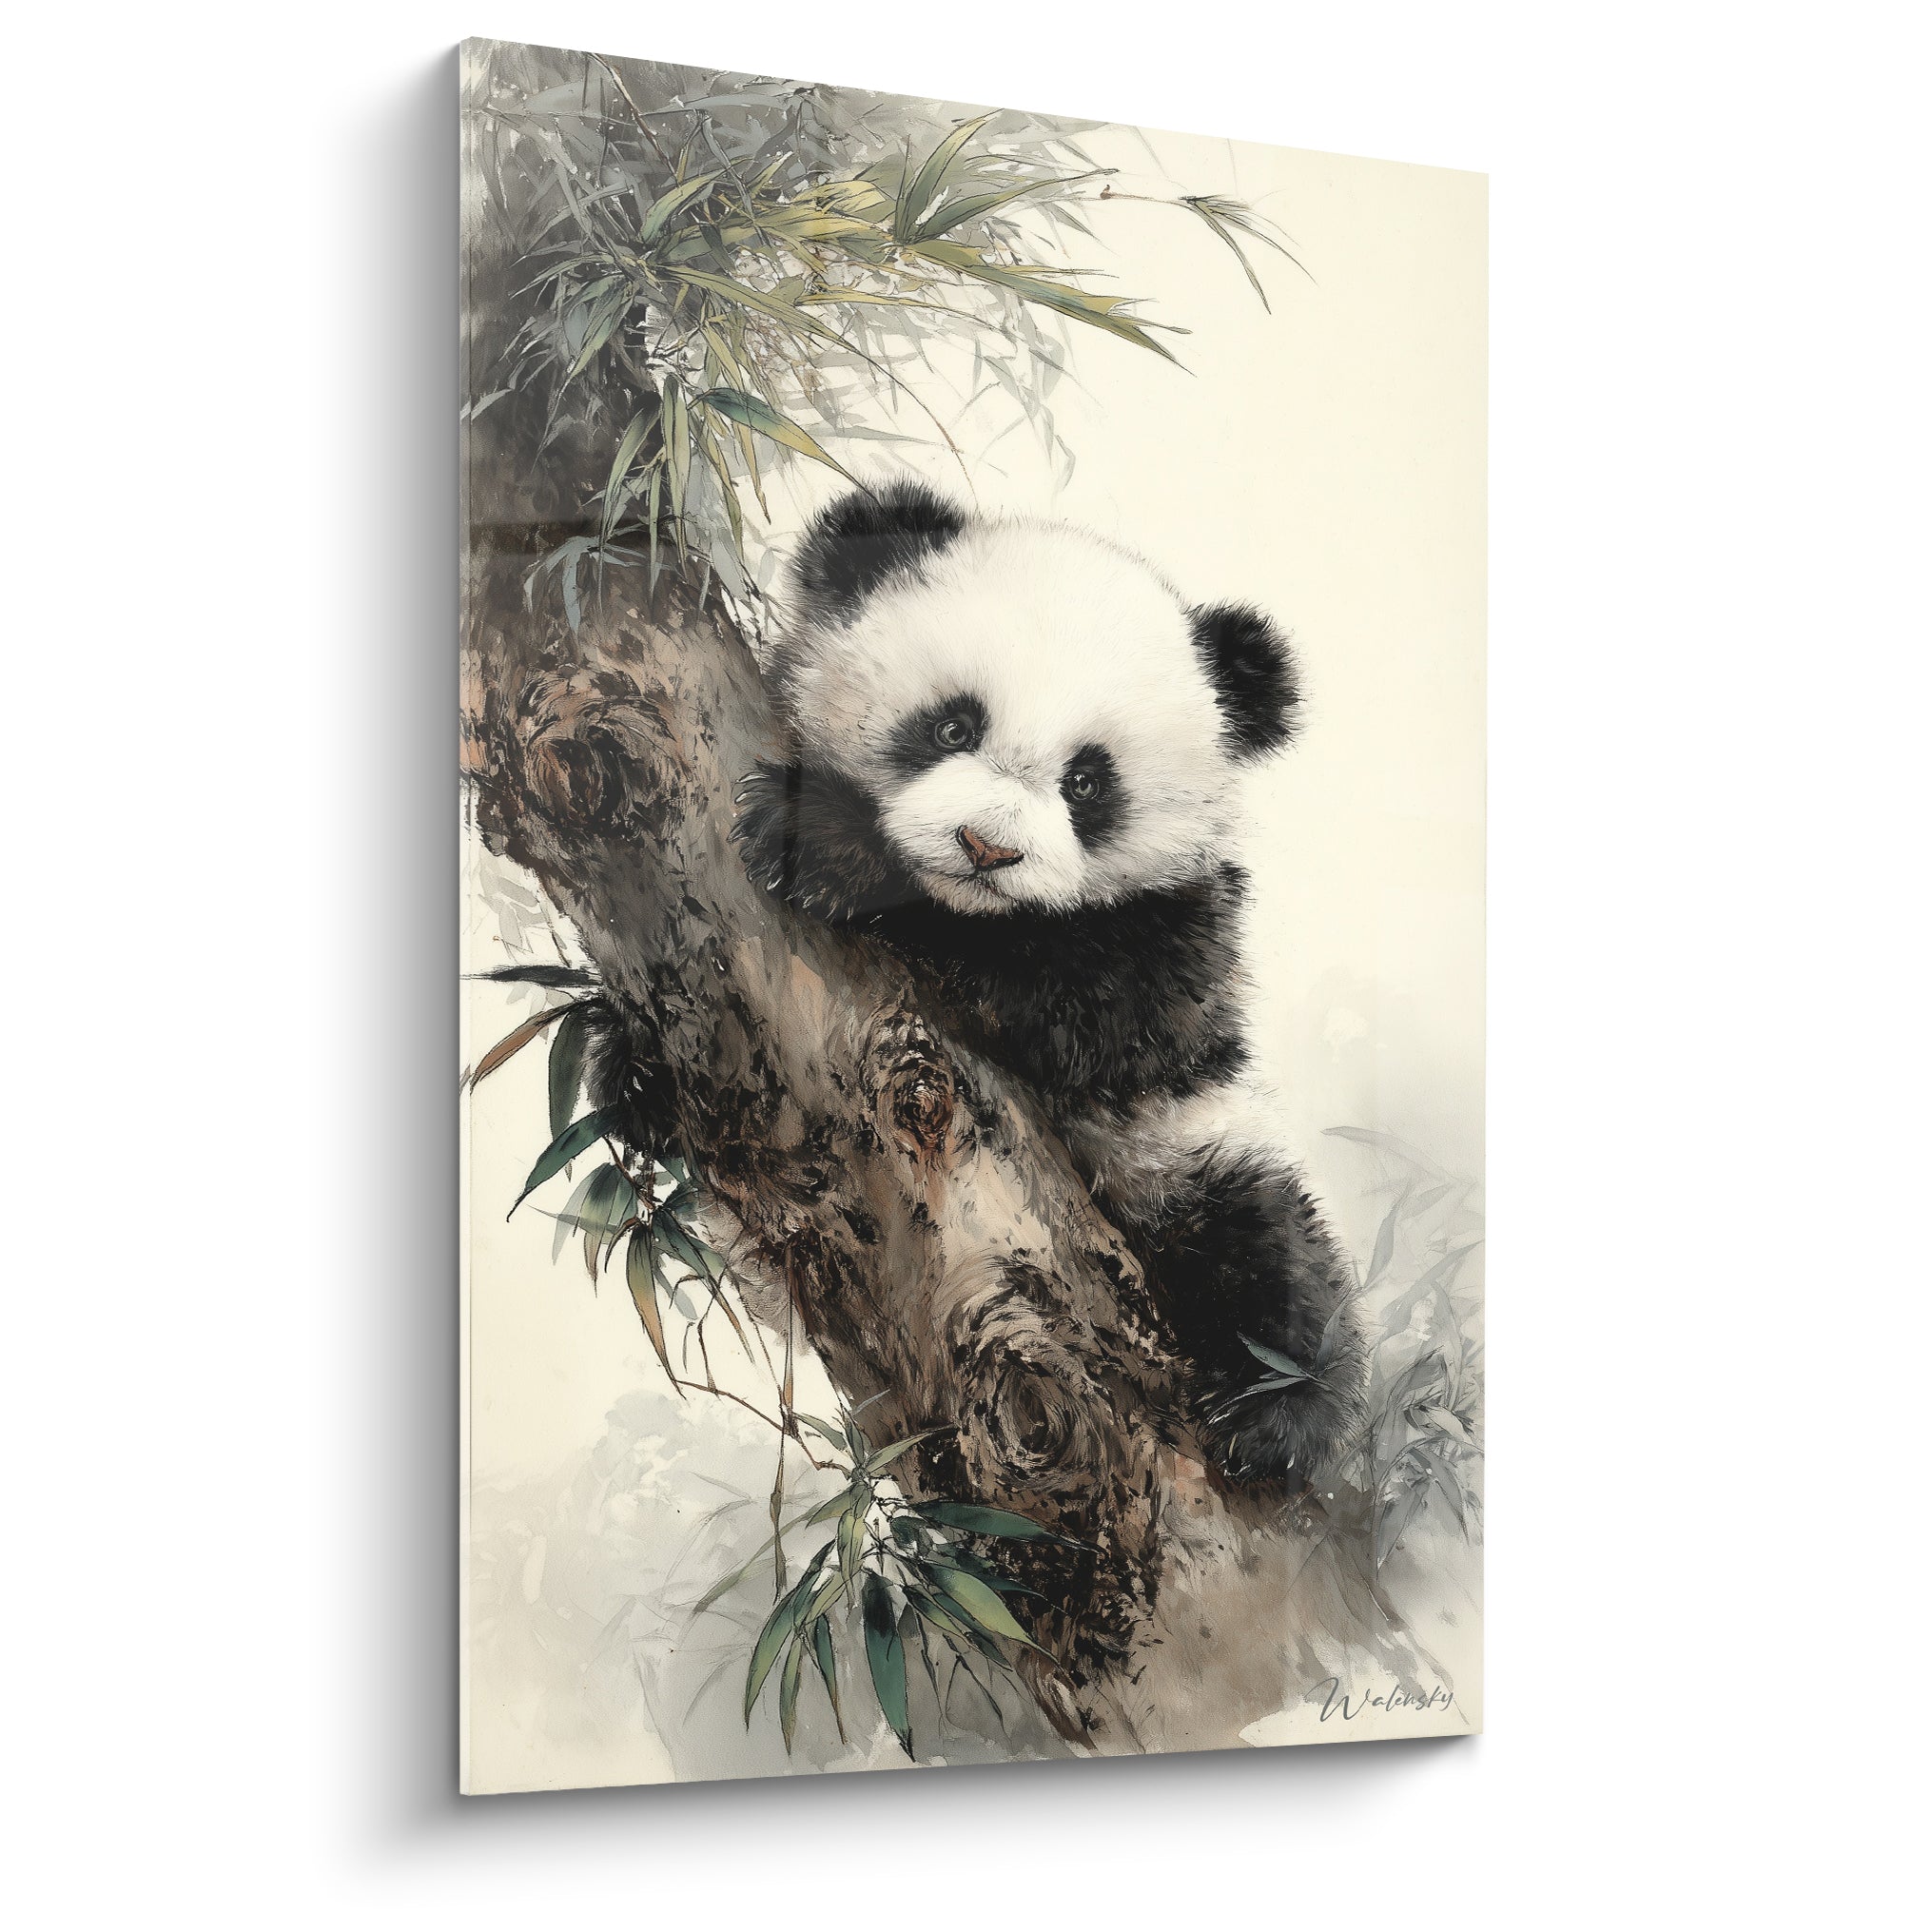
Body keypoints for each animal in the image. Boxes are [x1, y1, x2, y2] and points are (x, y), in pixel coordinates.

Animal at [734, 481, 1365, 1488]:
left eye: (1087, 782)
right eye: (952, 726)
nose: (986, 848)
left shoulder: (1182, 940)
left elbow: (1086, 1001)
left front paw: (831, 845)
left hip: (1185, 1152)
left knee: (1270, 1251)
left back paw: (1276, 1414)